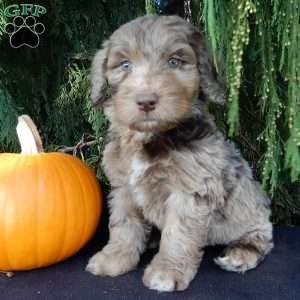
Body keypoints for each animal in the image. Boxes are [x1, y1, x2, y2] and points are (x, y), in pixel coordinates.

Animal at [85, 15, 274, 292]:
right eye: (125, 65)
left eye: (174, 61)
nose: (146, 101)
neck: (151, 137)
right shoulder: (123, 188)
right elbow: (123, 225)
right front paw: (114, 258)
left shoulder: (191, 191)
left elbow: (178, 234)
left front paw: (166, 271)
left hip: (248, 206)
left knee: (261, 232)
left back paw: (241, 254)